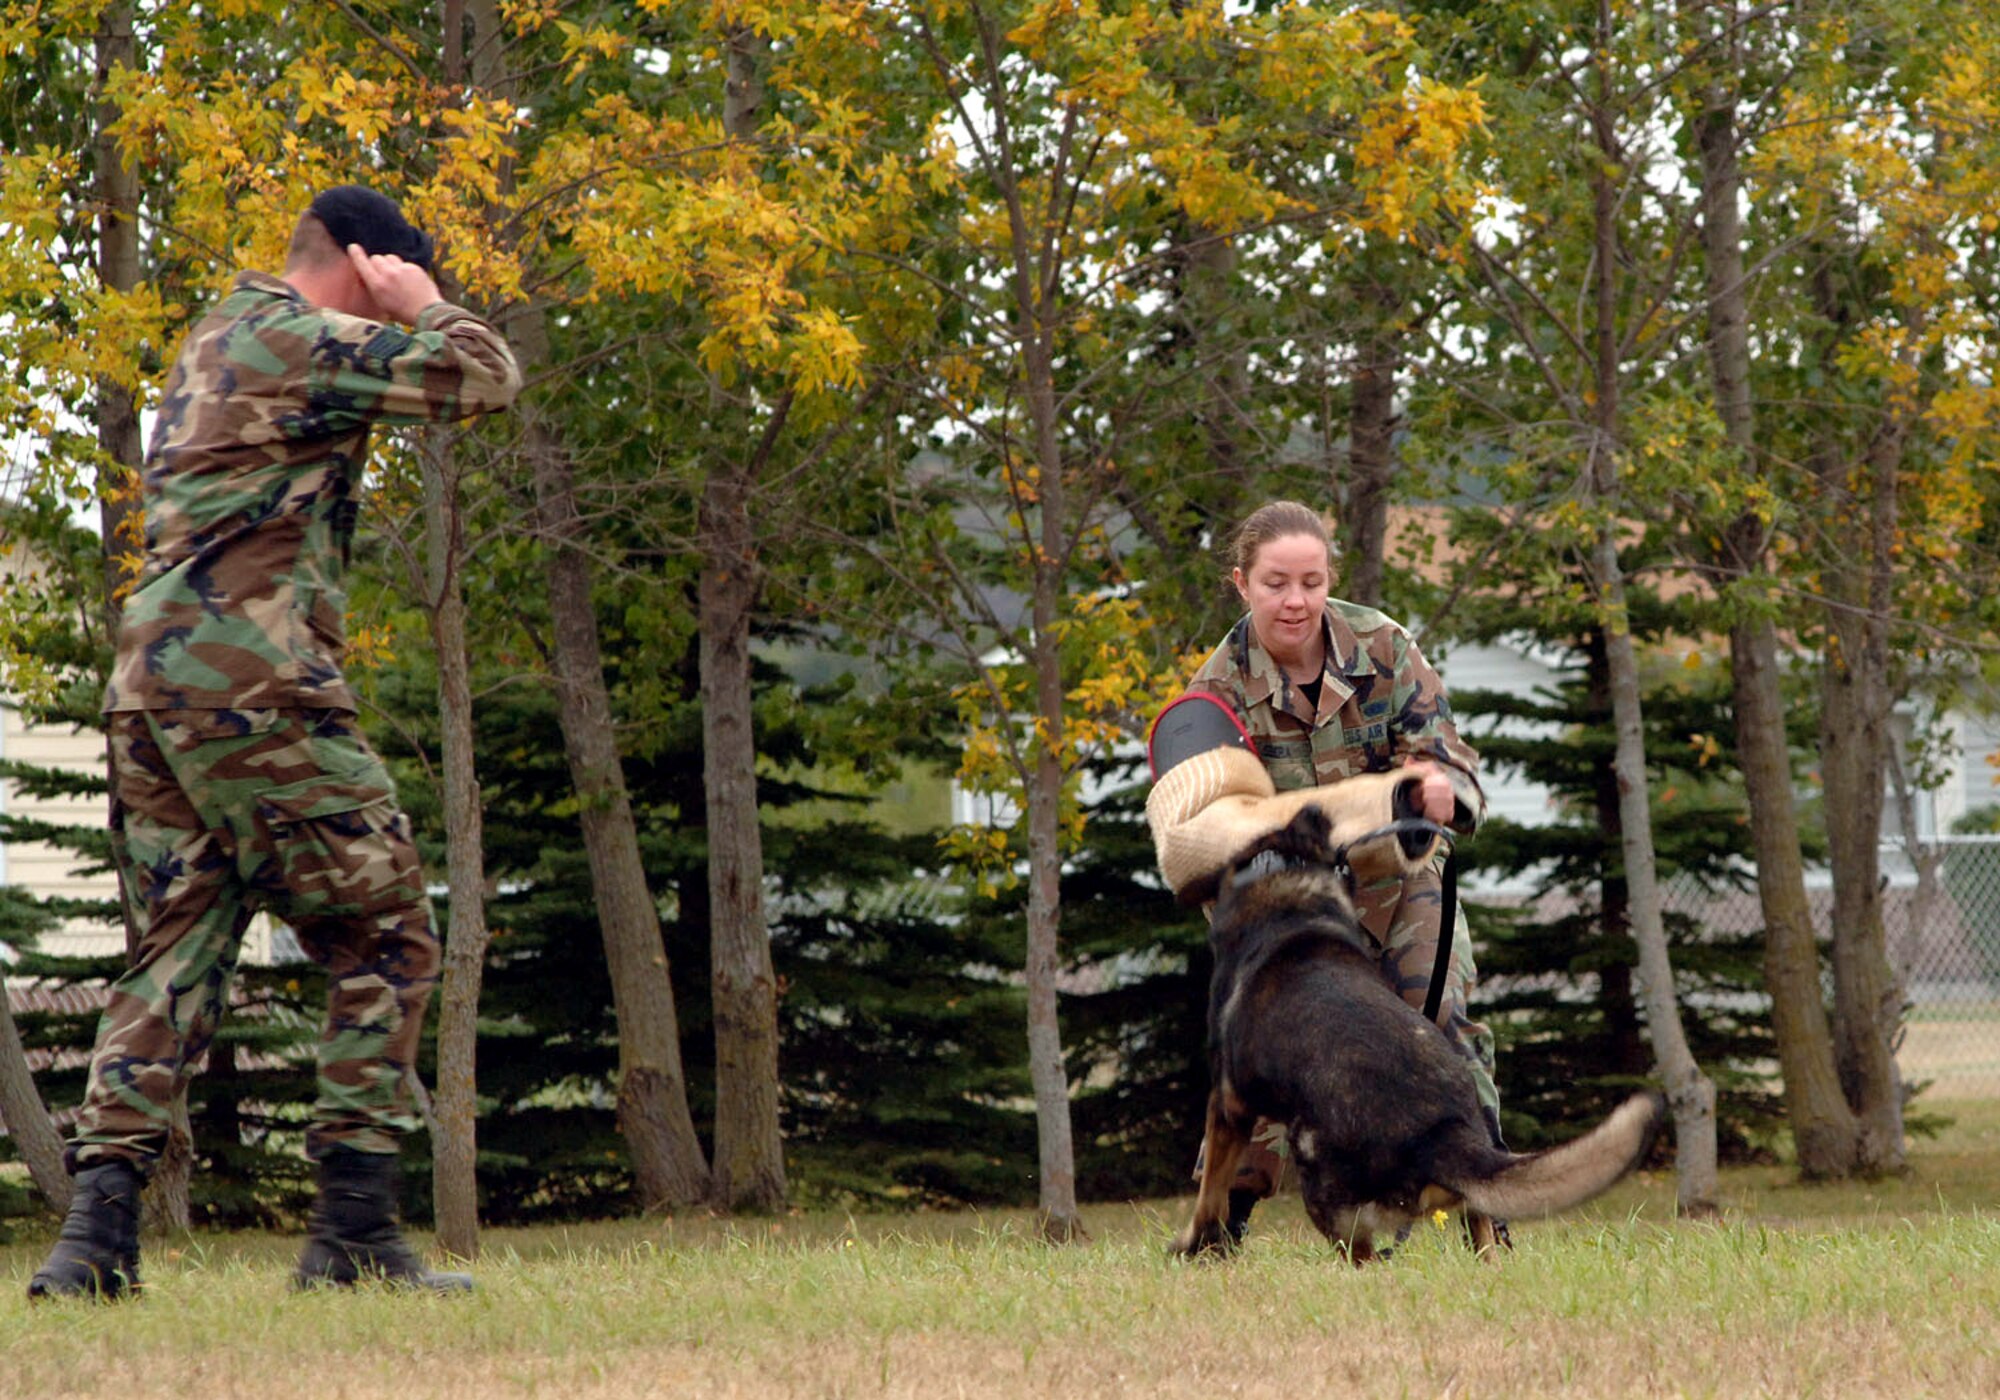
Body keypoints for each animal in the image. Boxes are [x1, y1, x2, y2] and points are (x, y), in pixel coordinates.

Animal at [1168, 804, 1656, 1264]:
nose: (1314, 808)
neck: (1290, 894)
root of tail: (1441, 1132)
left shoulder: (1227, 1104)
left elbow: (1211, 1189)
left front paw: (1194, 1243)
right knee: (1480, 1231)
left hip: (1318, 1175)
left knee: (1365, 1261)